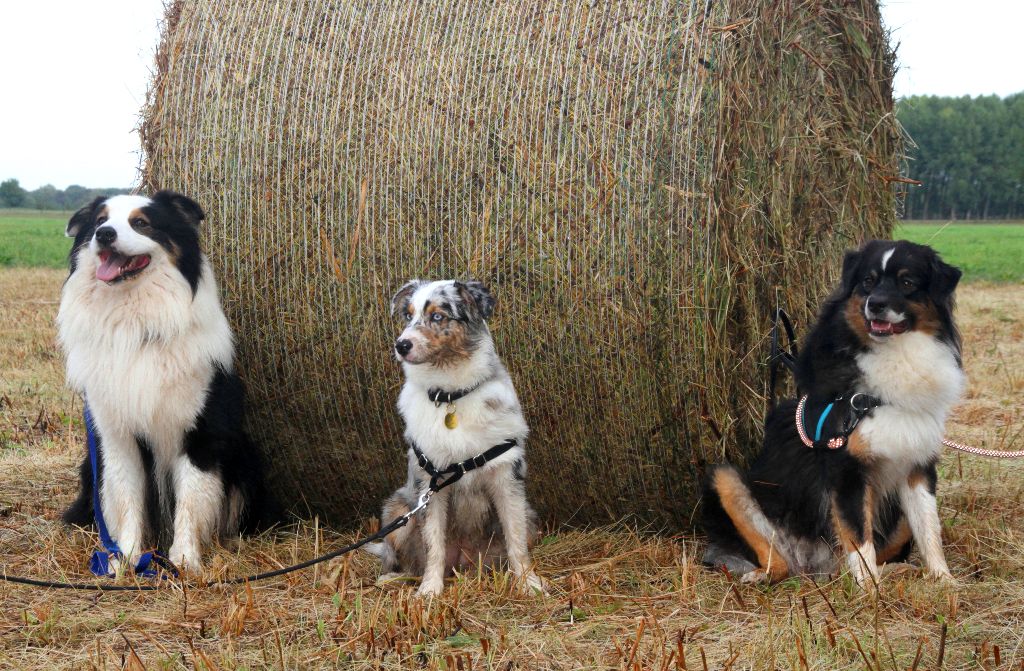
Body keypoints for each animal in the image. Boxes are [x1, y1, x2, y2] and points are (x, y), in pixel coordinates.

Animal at [58, 191, 274, 573]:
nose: (105, 235)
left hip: (245, 458)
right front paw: (125, 558)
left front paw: (184, 559)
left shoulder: (200, 431)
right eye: (100, 220)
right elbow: (126, 495)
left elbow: (191, 497)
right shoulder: (116, 434)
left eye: (141, 223)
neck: (136, 326)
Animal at [366, 280, 544, 594]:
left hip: (530, 515)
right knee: (405, 560)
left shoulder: (506, 477)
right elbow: (433, 544)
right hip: (397, 512)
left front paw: (528, 583)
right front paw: (429, 591)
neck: (451, 395)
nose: (401, 345)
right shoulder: (431, 484)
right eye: (407, 315)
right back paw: (393, 578)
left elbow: (517, 542)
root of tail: (462, 560)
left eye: (438, 316)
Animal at [700, 239, 962, 590]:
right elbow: (859, 538)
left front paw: (944, 582)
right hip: (725, 480)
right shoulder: (846, 468)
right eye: (868, 281)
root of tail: (812, 565)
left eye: (907, 282)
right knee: (778, 563)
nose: (875, 304)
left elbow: (930, 530)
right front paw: (871, 591)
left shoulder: (918, 466)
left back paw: (896, 570)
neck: (894, 355)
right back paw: (761, 575)